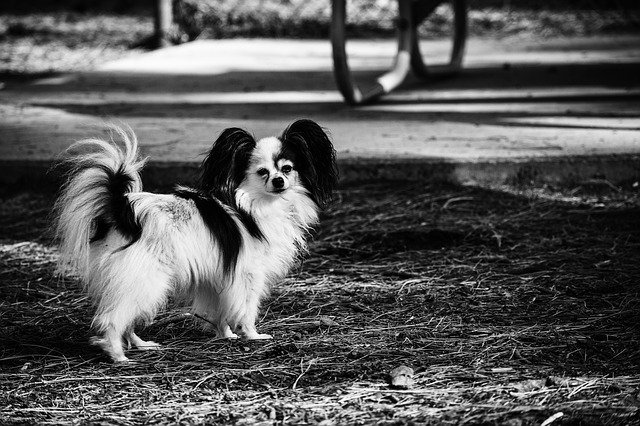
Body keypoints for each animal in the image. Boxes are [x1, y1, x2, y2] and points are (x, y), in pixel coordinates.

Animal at [53, 120, 340, 362]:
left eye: (287, 169)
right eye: (262, 172)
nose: (279, 181)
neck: (256, 204)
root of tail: (123, 209)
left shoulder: (218, 276)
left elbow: (220, 311)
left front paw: (226, 335)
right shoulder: (248, 275)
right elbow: (246, 310)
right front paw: (252, 336)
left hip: (134, 280)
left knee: (126, 315)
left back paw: (140, 344)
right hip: (147, 278)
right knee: (113, 318)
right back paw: (118, 355)